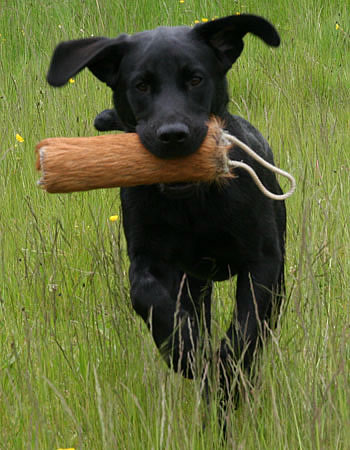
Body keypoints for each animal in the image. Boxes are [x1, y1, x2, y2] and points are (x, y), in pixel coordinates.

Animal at [47, 14, 288, 408]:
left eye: (196, 79)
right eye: (141, 85)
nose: (173, 135)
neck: (194, 204)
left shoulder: (265, 261)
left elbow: (245, 331)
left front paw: (228, 375)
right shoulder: (150, 261)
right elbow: (148, 299)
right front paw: (184, 351)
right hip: (195, 284)